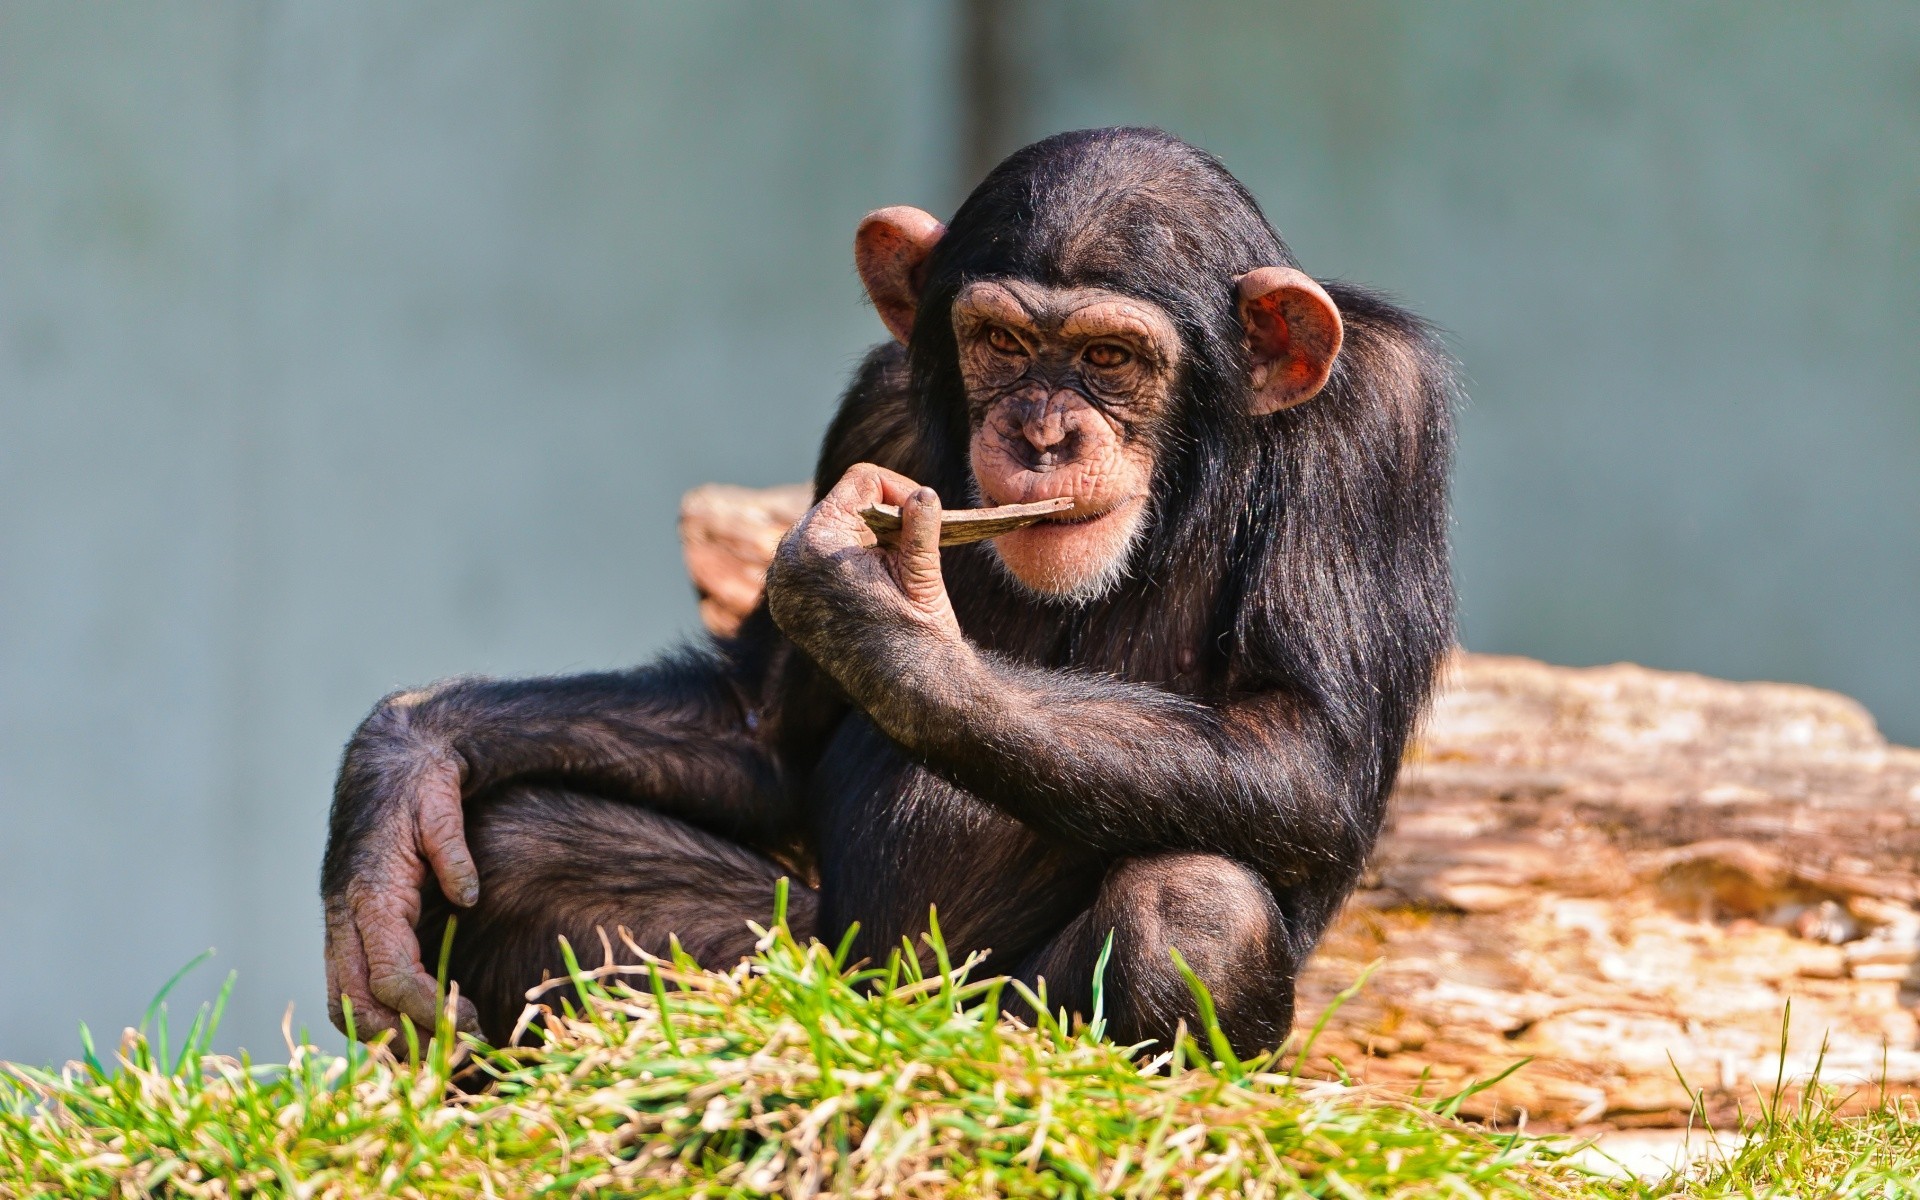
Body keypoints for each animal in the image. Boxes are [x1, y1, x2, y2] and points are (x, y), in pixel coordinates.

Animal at [322, 126, 1451, 1052]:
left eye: (1108, 355)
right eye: (1001, 342)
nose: (1042, 433)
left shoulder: (1377, 426)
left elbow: (1302, 743)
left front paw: (879, 621)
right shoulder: (874, 415)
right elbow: (761, 723)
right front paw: (403, 761)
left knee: (1197, 909)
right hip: (816, 963)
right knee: (516, 849)